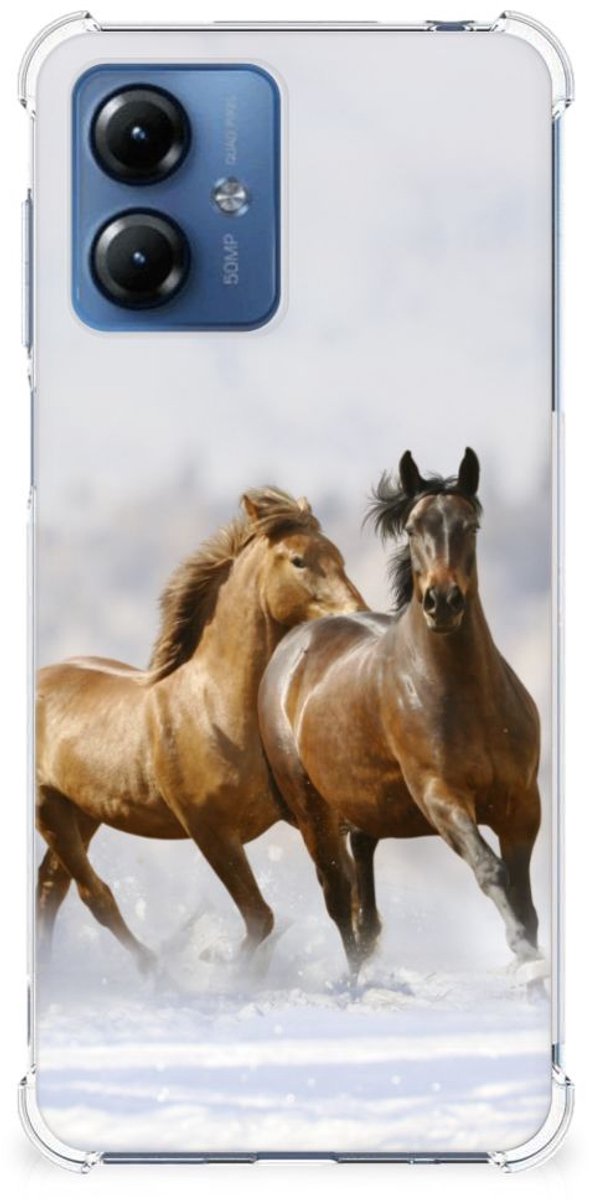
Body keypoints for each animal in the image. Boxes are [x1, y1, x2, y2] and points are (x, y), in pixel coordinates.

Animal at [36, 487, 365, 972]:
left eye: (339, 556)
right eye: (298, 560)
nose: (358, 614)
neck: (216, 710)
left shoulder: (307, 815)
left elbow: (340, 894)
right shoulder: (209, 830)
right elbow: (260, 917)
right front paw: (225, 969)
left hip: (83, 811)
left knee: (51, 887)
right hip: (49, 809)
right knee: (92, 894)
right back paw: (155, 970)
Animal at [258, 450, 542, 975]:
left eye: (470, 525)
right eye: (411, 528)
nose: (442, 602)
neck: (467, 697)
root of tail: (292, 646)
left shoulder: (522, 805)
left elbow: (525, 898)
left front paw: (532, 959)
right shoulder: (440, 796)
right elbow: (491, 870)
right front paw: (522, 951)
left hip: (363, 810)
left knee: (364, 904)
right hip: (313, 813)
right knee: (339, 899)